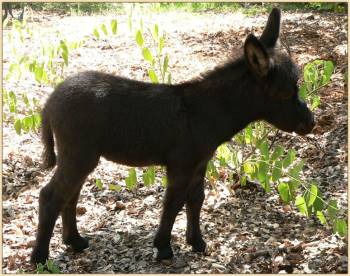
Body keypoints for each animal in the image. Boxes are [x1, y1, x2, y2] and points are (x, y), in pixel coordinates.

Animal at [30, 7, 314, 264]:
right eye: (287, 93)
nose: (311, 123)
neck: (205, 111)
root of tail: (50, 101)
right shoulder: (181, 165)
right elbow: (173, 203)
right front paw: (164, 249)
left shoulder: (200, 163)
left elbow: (196, 200)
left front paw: (197, 243)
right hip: (78, 154)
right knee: (51, 196)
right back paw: (39, 258)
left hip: (82, 157)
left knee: (70, 195)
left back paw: (75, 242)